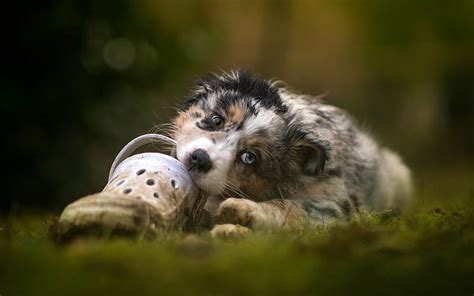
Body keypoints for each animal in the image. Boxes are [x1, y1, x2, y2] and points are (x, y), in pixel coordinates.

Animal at [171, 70, 412, 232]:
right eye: (216, 120)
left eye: (249, 157)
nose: (199, 159)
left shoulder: (333, 207)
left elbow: (289, 206)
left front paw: (243, 209)